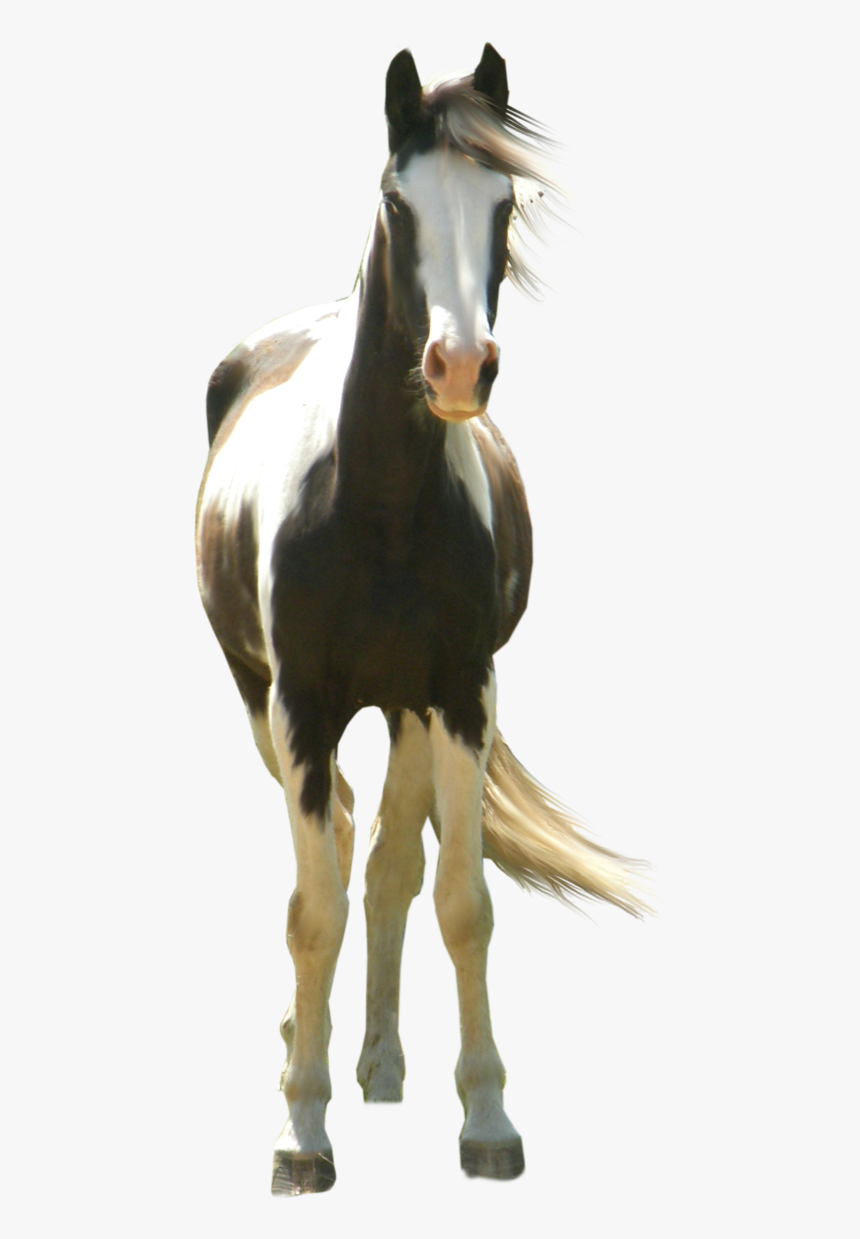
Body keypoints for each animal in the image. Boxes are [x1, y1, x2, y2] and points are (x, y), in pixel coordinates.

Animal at [196, 43, 648, 1195]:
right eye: (398, 199)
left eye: (505, 200)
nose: (457, 369)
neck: (381, 504)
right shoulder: (303, 706)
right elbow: (311, 911)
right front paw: (300, 1135)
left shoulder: (457, 694)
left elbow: (459, 900)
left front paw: (486, 1119)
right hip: (262, 702)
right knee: (340, 846)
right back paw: (305, 1052)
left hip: (404, 707)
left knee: (390, 861)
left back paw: (382, 1063)